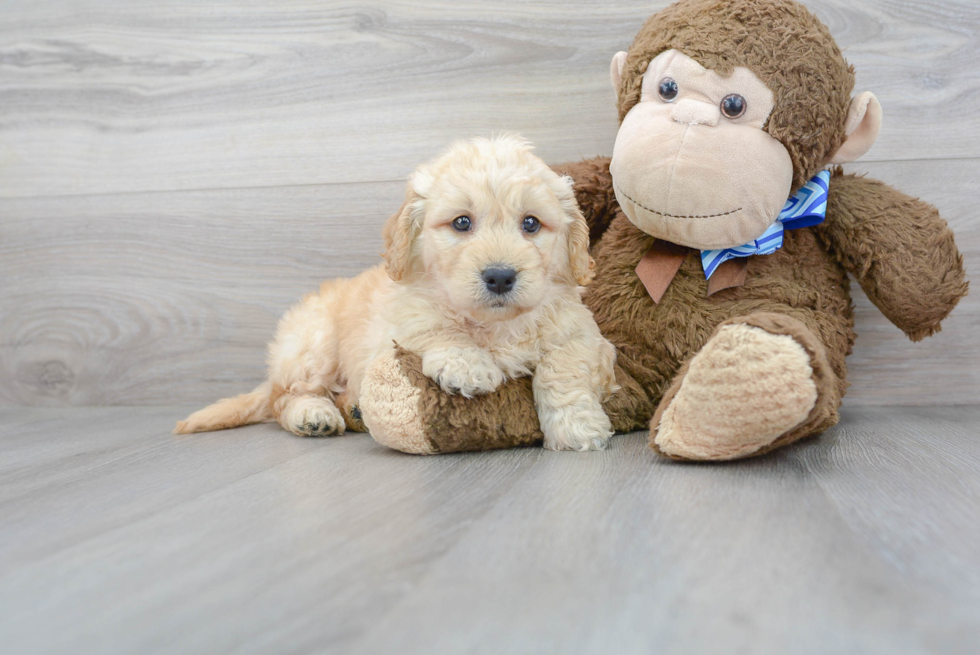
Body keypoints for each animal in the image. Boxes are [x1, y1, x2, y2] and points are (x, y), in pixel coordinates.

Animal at [175, 134, 616, 452]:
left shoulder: (578, 331)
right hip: (311, 343)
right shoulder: (400, 316)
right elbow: (434, 325)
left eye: (531, 223)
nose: (500, 277)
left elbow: (564, 368)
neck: (493, 324)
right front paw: (467, 364)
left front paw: (577, 426)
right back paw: (314, 414)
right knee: (286, 398)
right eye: (461, 222)